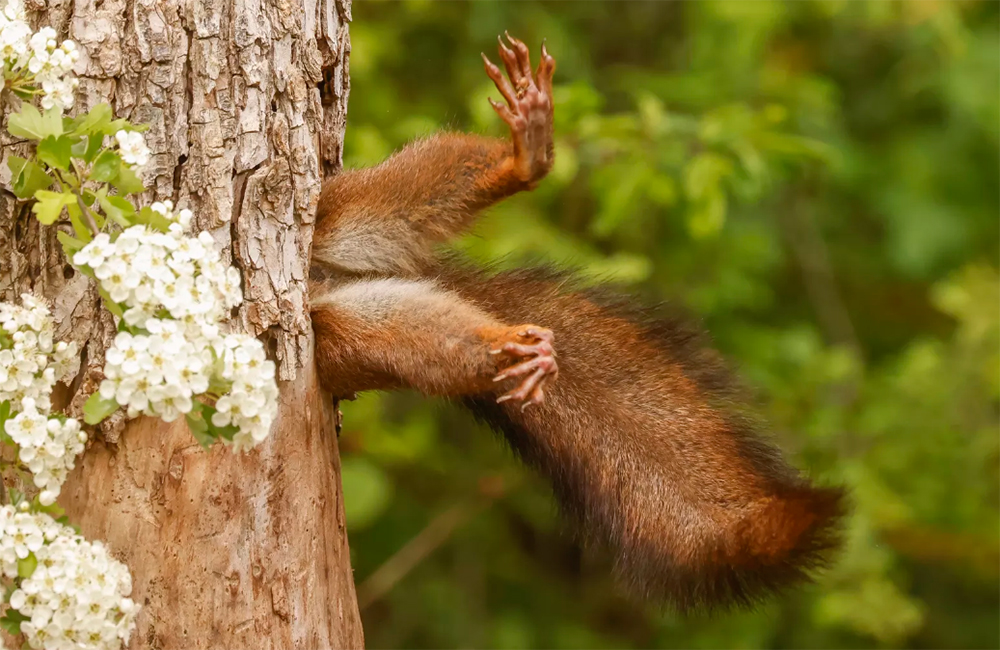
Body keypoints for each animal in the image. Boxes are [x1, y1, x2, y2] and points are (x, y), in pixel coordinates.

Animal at [310, 34, 844, 612]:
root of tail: (324, 280)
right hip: (342, 336)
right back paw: (512, 348)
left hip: (336, 212)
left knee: (401, 194)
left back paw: (524, 157)